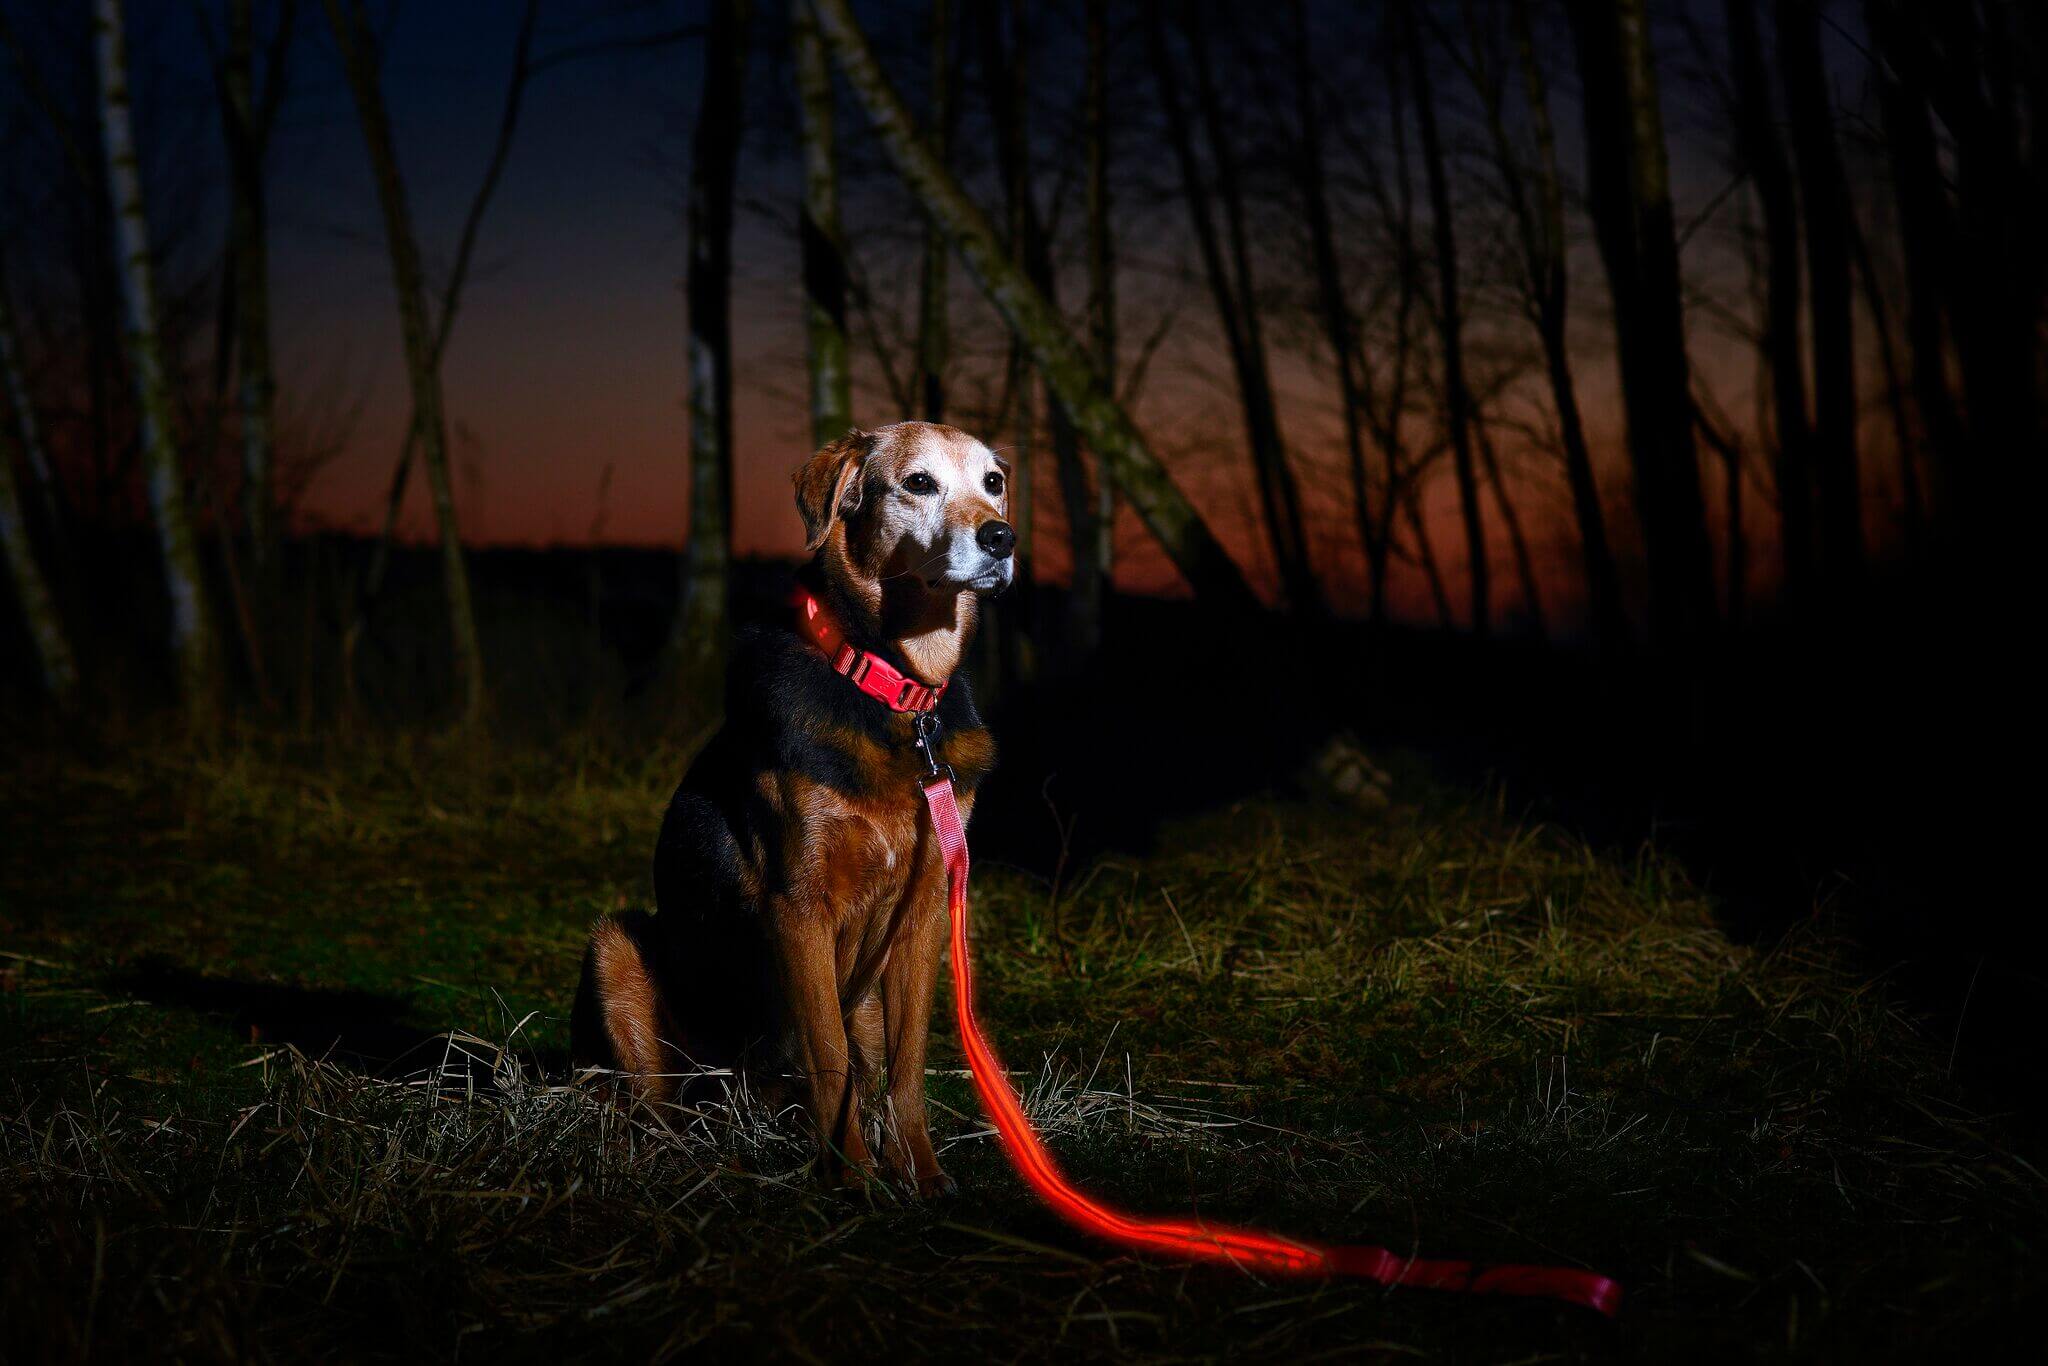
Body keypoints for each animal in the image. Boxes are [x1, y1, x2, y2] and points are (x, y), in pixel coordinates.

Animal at [573, 419, 1011, 1196]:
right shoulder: (799, 908)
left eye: (994, 482)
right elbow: (830, 1060)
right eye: (918, 483)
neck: (897, 691)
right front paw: (854, 1181)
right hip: (615, 950)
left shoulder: (926, 911)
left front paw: (920, 1175)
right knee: (655, 1104)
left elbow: (904, 1069)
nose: (1002, 538)